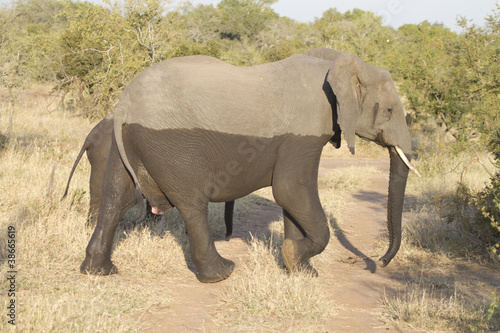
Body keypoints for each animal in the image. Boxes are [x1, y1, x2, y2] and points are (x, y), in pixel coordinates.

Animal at [82, 48, 416, 282]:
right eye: (389, 110)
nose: (380, 263)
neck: (334, 62)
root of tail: (125, 104)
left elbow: (291, 200)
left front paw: (300, 270)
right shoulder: (302, 135)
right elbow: (290, 190)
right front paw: (294, 258)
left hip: (126, 143)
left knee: (115, 197)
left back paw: (98, 271)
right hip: (172, 145)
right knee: (192, 203)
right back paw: (221, 274)